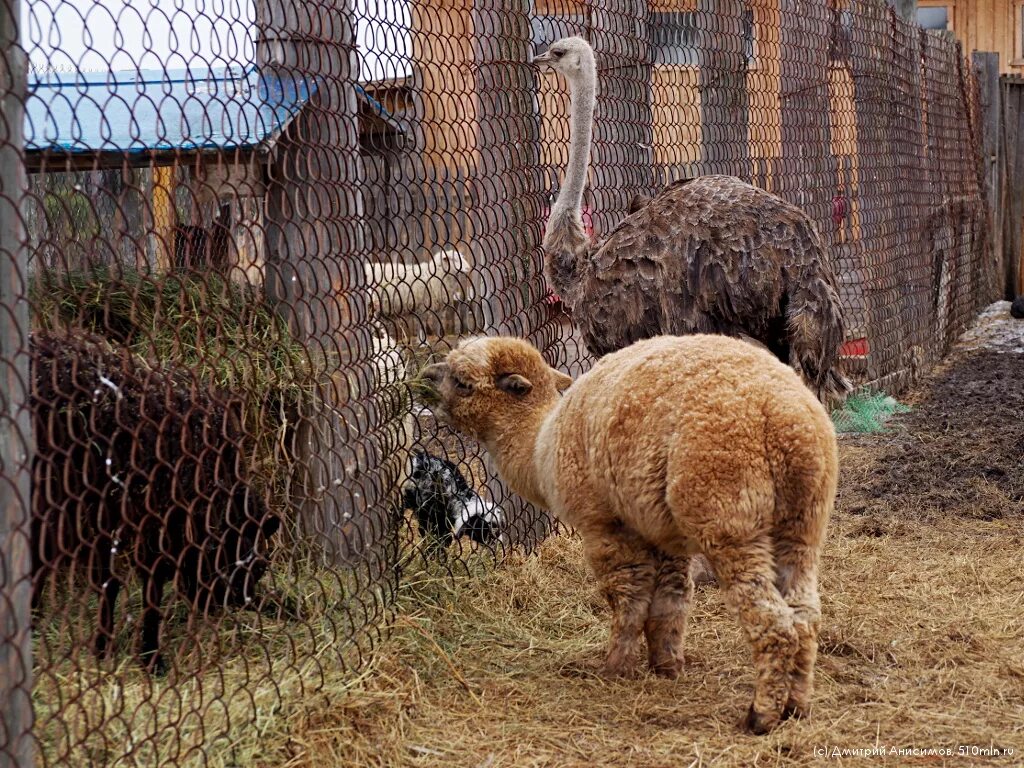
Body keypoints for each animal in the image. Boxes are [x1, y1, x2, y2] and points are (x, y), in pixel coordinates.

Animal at [32, 331, 280, 671]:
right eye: (253, 566)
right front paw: (147, 655)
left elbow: (113, 581)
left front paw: (105, 647)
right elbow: (143, 585)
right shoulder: (138, 515)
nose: (223, 605)